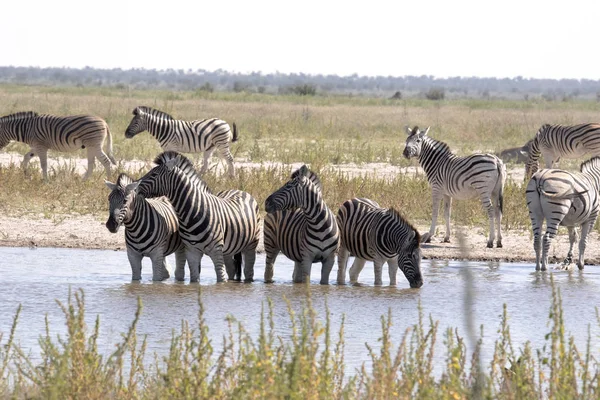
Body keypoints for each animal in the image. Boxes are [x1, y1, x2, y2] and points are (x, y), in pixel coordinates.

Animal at [134, 151, 260, 284]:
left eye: (154, 174)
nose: (134, 187)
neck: (192, 213)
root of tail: (238, 190)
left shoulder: (216, 250)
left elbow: (220, 278)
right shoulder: (192, 251)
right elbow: (194, 278)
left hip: (251, 244)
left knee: (248, 270)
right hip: (228, 250)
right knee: (232, 268)